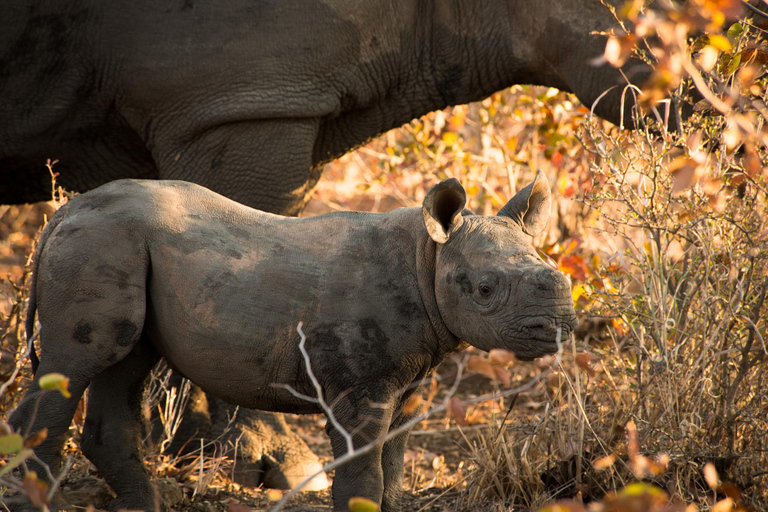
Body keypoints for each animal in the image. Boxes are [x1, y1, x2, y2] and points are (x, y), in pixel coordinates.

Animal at [9, 173, 576, 512]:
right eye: (484, 290)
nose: (559, 326)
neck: (427, 256)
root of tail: (61, 214)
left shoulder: (408, 381)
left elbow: (393, 464)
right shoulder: (359, 386)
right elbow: (363, 469)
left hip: (117, 244)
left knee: (123, 365)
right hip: (99, 241)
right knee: (77, 364)